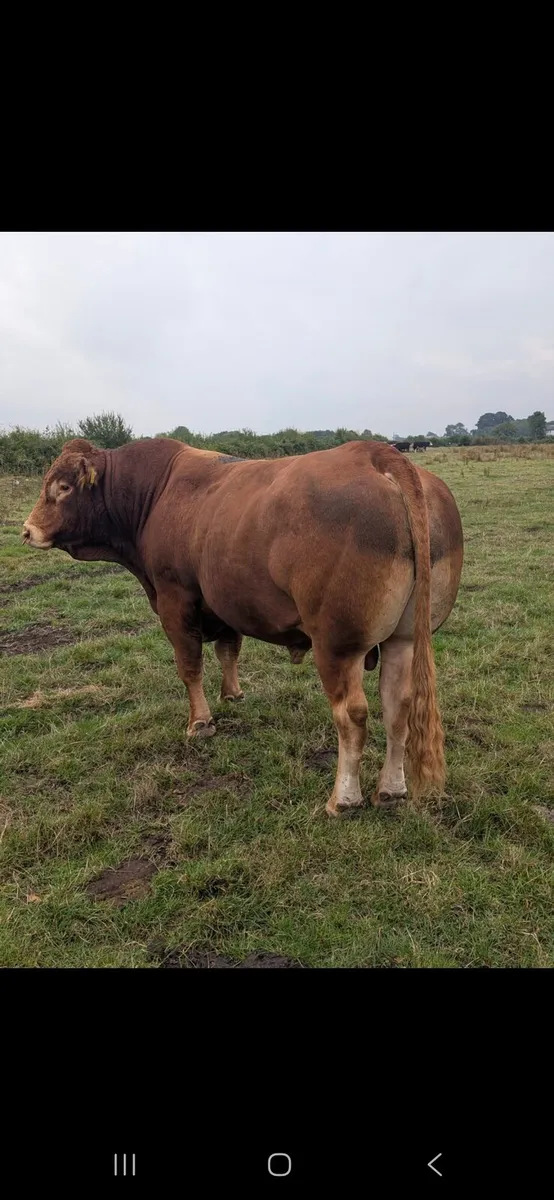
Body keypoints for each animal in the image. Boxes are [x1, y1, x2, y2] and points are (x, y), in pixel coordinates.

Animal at [23, 437, 463, 816]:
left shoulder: (175, 599)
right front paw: (232, 694)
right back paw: (390, 789)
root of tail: (376, 453)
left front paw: (200, 723)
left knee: (351, 716)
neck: (156, 494)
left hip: (338, 645)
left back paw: (343, 799)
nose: (27, 530)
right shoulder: (226, 601)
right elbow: (228, 650)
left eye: (63, 487)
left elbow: (190, 667)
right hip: (403, 638)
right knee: (397, 706)